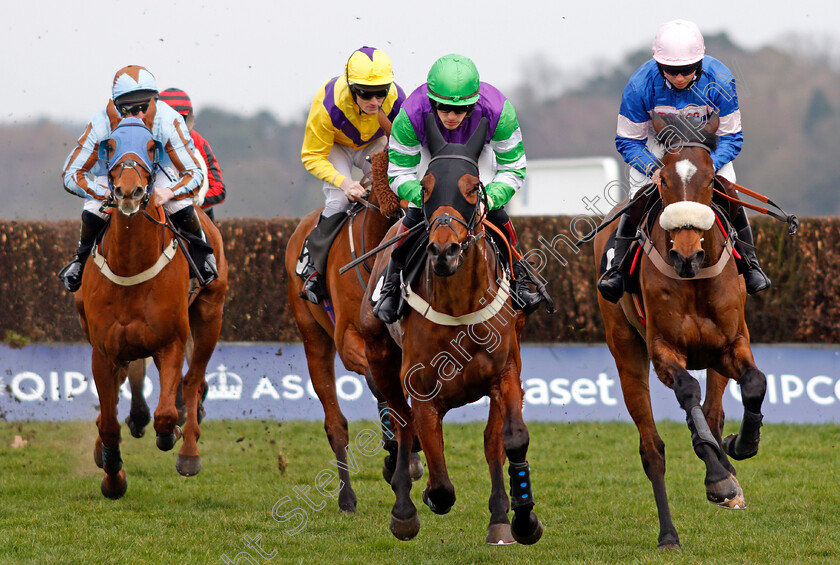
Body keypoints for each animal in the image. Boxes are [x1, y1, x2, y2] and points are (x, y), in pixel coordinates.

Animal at [74, 110, 226, 498]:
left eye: (151, 146)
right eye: (110, 145)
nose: (130, 191)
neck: (131, 264)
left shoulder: (171, 341)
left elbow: (168, 412)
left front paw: (169, 435)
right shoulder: (103, 349)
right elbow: (110, 421)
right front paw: (113, 476)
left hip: (209, 316)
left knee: (192, 381)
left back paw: (188, 452)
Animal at [358, 115, 540, 548]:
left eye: (473, 188)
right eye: (425, 187)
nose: (444, 251)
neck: (460, 309)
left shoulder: (505, 375)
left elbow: (511, 439)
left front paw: (524, 518)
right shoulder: (423, 393)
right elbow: (440, 484)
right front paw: (418, 500)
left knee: (491, 443)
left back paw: (499, 519)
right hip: (380, 357)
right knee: (401, 424)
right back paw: (404, 508)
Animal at [592, 112, 764, 548]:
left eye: (710, 179)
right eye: (665, 179)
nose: (687, 255)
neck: (694, 280)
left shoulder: (731, 343)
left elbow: (754, 383)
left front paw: (741, 445)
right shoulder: (663, 350)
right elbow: (687, 391)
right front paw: (718, 478)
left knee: (714, 412)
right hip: (625, 351)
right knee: (652, 448)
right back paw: (669, 531)